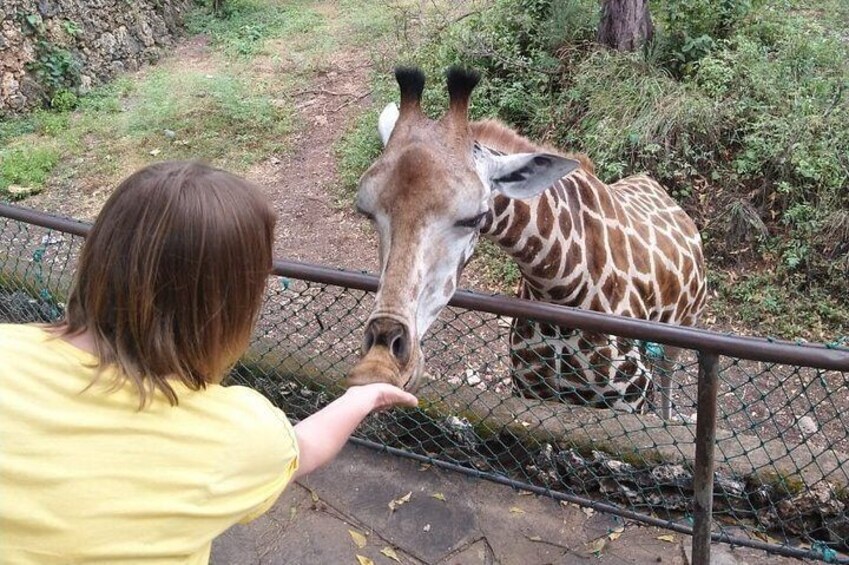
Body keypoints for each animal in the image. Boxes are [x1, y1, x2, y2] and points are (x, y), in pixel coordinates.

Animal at [348, 68, 704, 414]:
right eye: (366, 212)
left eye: (473, 218)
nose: (385, 362)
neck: (561, 289)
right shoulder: (531, 390)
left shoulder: (631, 399)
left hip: (682, 331)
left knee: (667, 380)